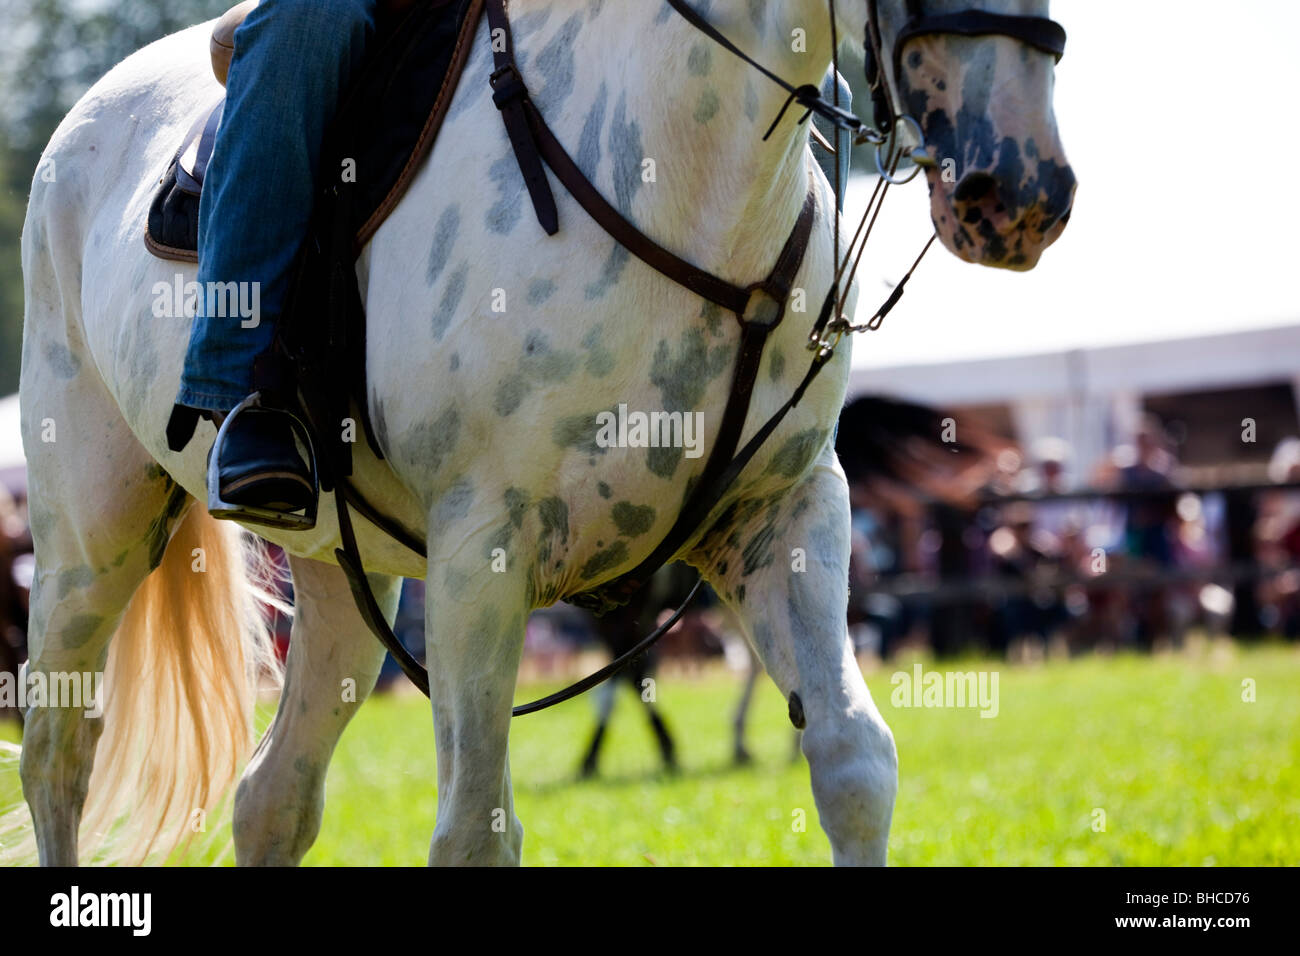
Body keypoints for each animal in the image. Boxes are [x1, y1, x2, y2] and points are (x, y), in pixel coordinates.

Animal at [10, 0, 1071, 868]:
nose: (1017, 186)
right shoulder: (483, 554)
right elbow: (476, 829)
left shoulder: (783, 513)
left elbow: (853, 762)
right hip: (89, 546)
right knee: (59, 753)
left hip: (349, 583)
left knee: (273, 798)